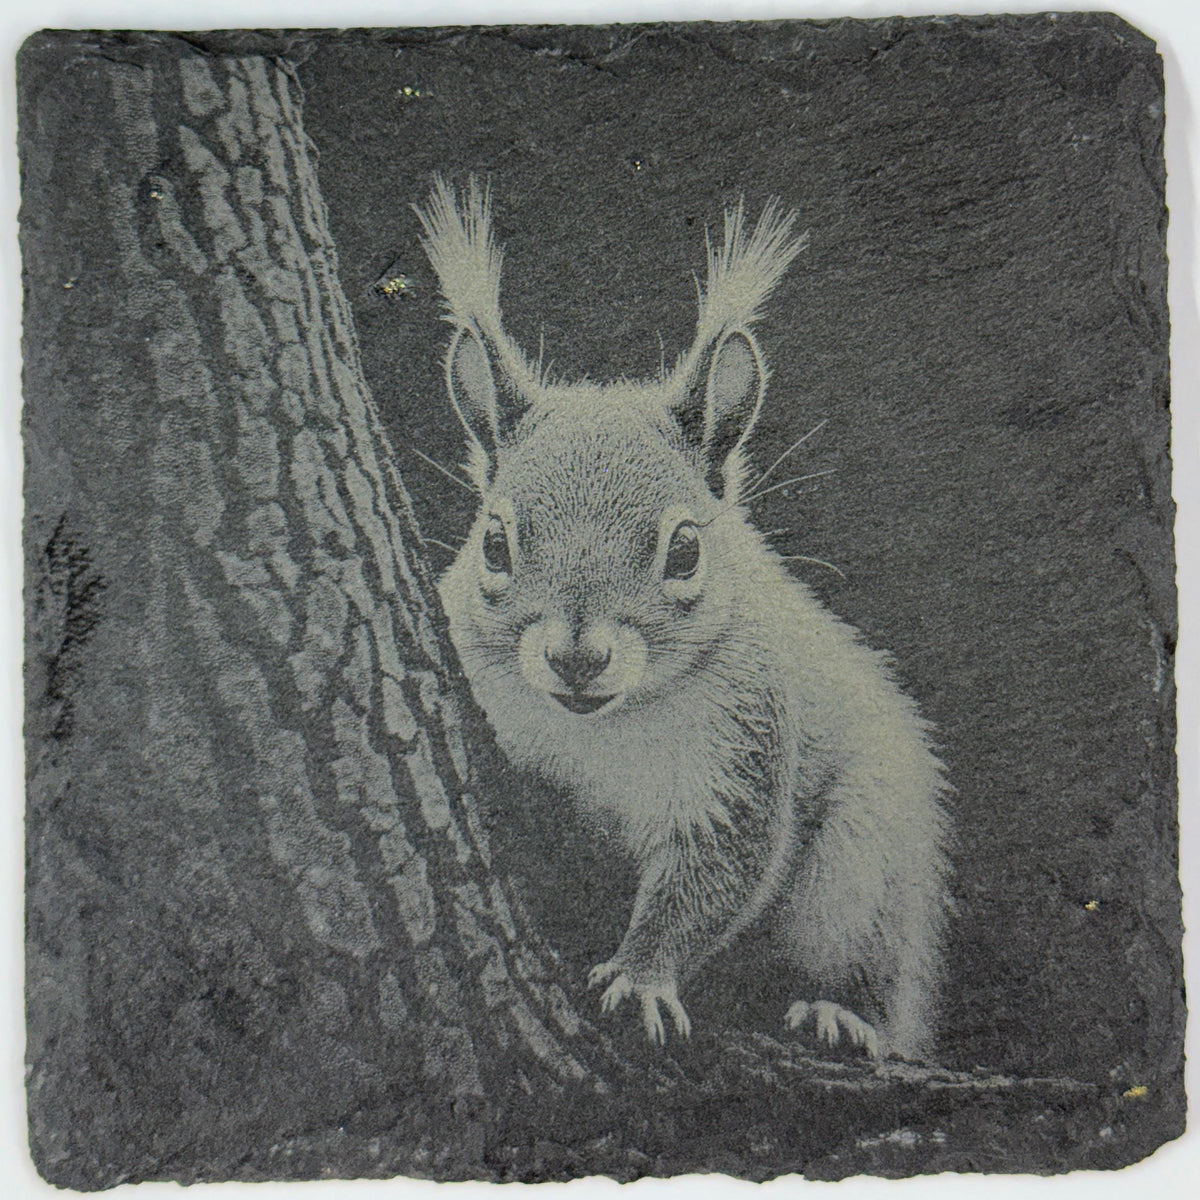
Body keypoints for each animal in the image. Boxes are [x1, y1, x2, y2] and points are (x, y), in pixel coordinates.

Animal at [414, 178, 952, 1061]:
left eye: (686, 551)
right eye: (493, 542)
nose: (577, 657)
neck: (604, 727)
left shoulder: (745, 744)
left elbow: (711, 880)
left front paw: (642, 979)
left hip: (864, 867)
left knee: (871, 966)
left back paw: (843, 1014)